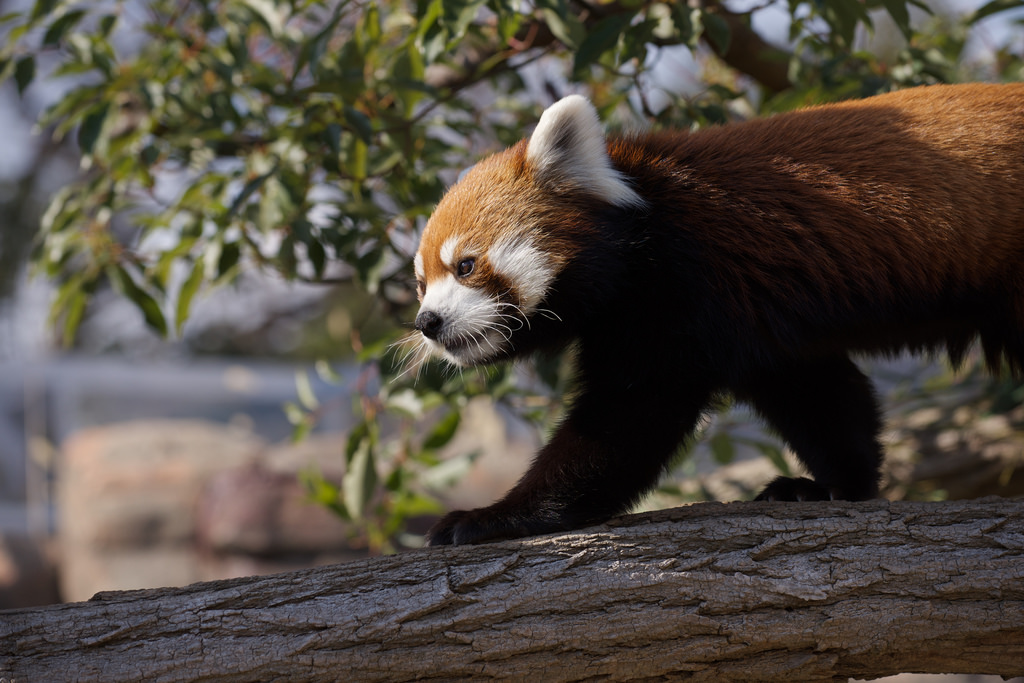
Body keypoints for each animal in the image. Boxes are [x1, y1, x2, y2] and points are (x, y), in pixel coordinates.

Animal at [409, 83, 1024, 544]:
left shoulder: (684, 290)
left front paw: (494, 517)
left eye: (465, 265)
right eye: (420, 284)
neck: (644, 235)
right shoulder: (761, 320)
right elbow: (823, 398)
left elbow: (628, 419)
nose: (427, 323)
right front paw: (836, 486)